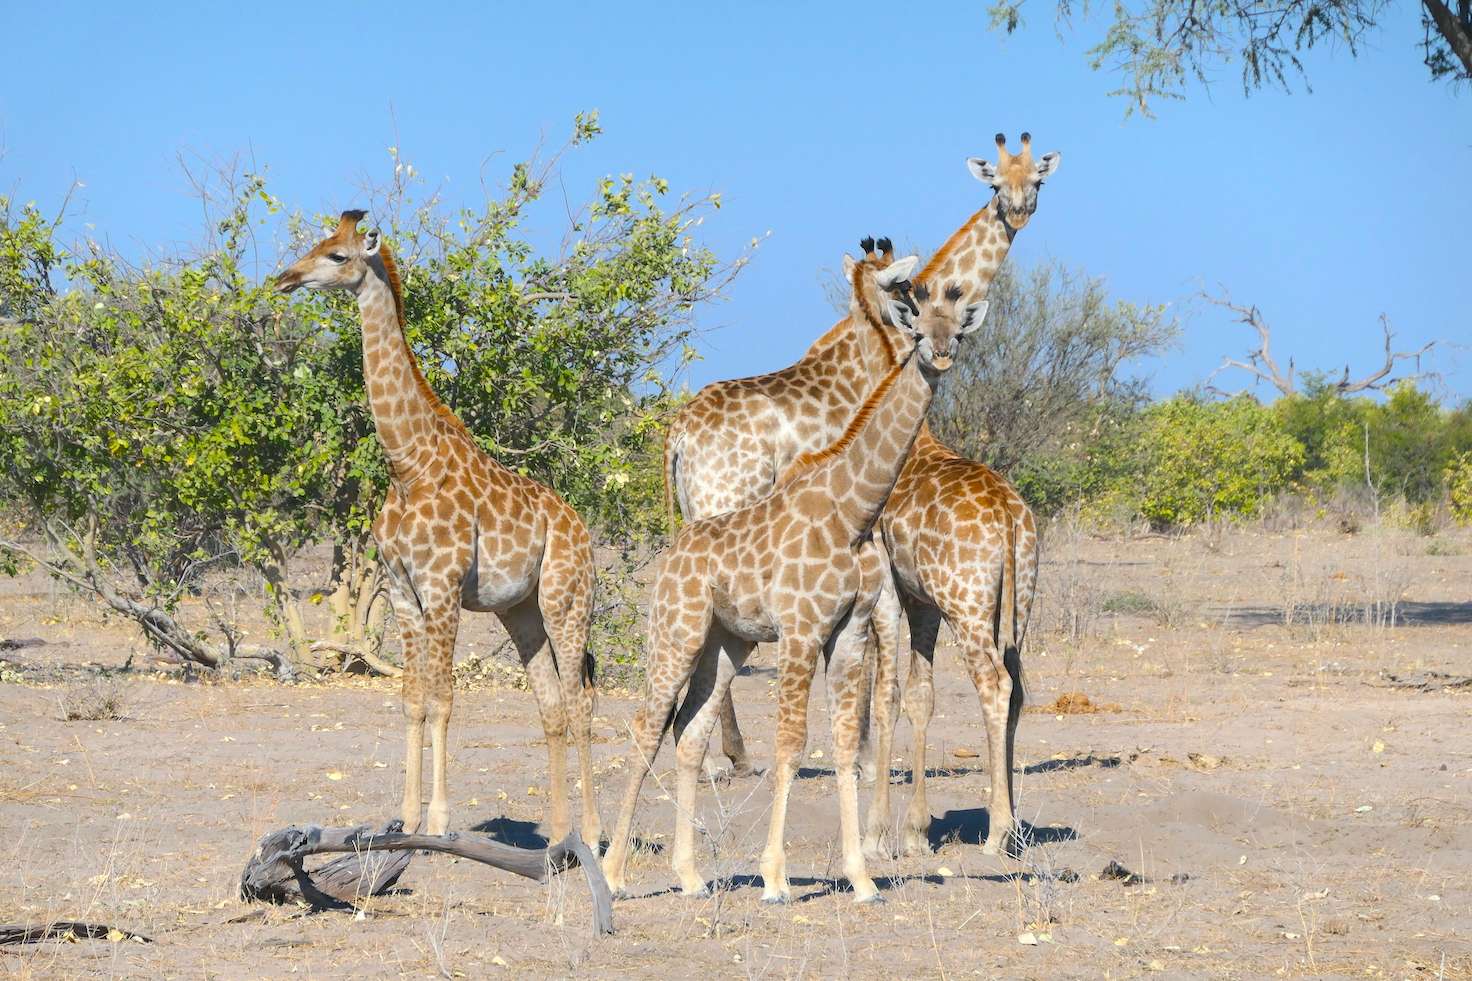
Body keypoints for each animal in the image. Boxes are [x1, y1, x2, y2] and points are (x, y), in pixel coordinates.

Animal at [273, 212, 600, 842]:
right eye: (317, 245)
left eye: (337, 255)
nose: (285, 278)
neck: (407, 464)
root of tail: (582, 531)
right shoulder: (403, 590)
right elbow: (411, 699)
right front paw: (406, 815)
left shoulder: (443, 585)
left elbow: (445, 699)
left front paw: (442, 818)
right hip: (520, 610)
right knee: (550, 704)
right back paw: (556, 833)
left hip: (566, 601)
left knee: (580, 702)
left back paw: (595, 834)